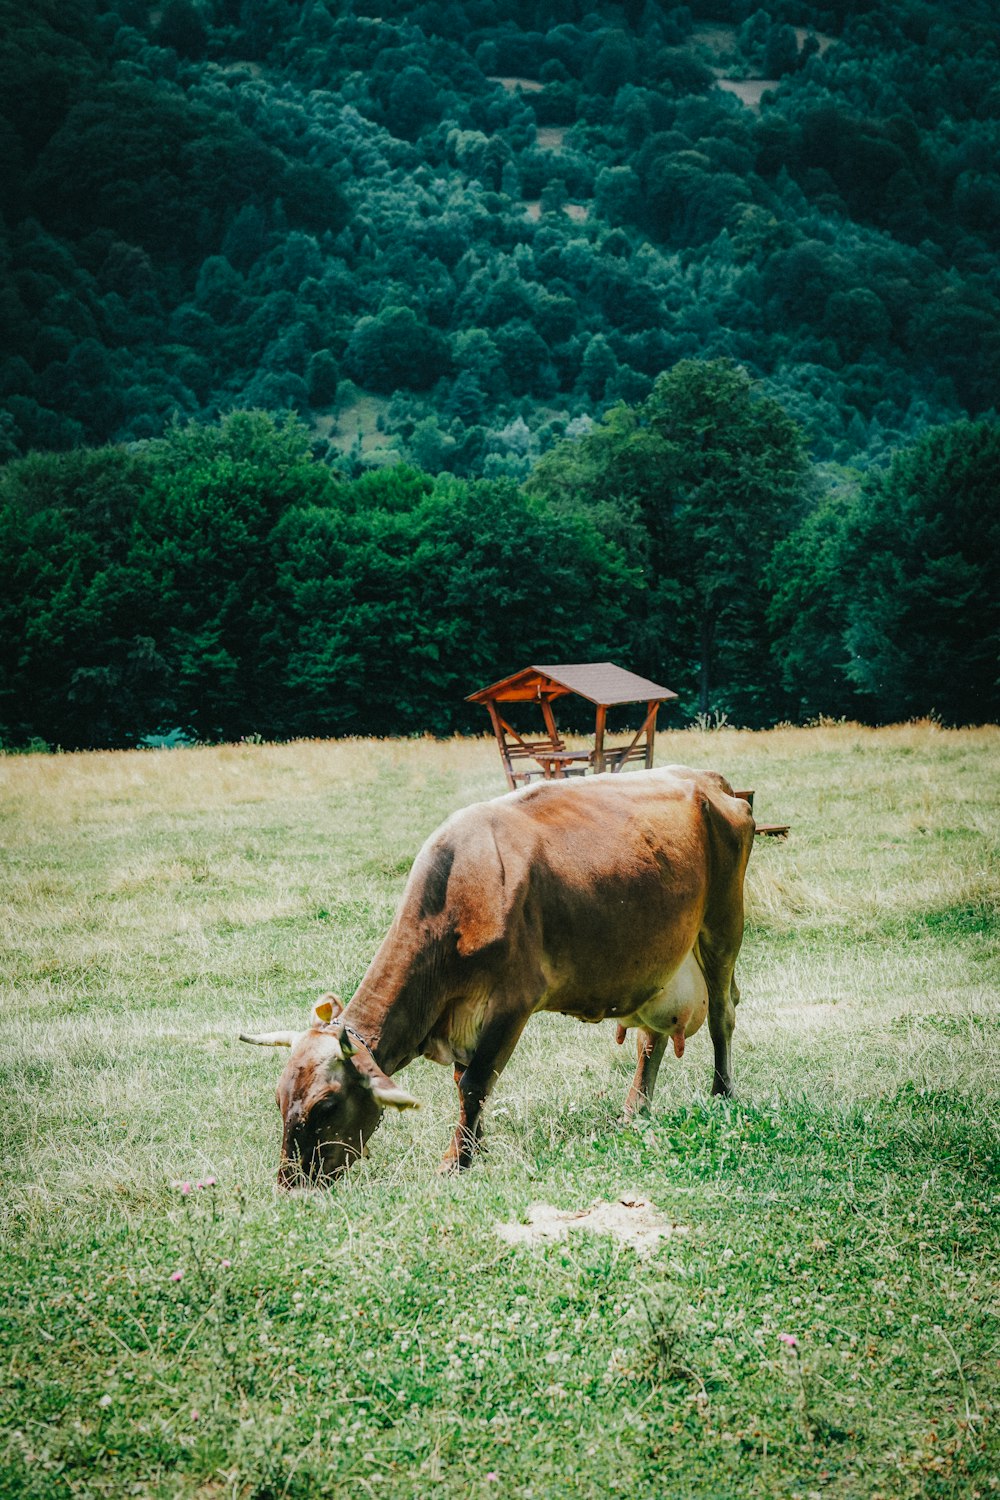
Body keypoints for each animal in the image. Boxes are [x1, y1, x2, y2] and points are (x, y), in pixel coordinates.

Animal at [242, 768, 755, 1188]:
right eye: (279, 1096)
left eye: (326, 1106)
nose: (290, 1184)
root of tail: (710, 780)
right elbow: (464, 1082)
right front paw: (475, 1146)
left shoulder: (512, 1002)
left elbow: (474, 1082)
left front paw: (456, 1161)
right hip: (660, 961)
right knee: (652, 1039)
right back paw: (634, 1111)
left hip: (723, 926)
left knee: (722, 1015)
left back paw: (722, 1094)